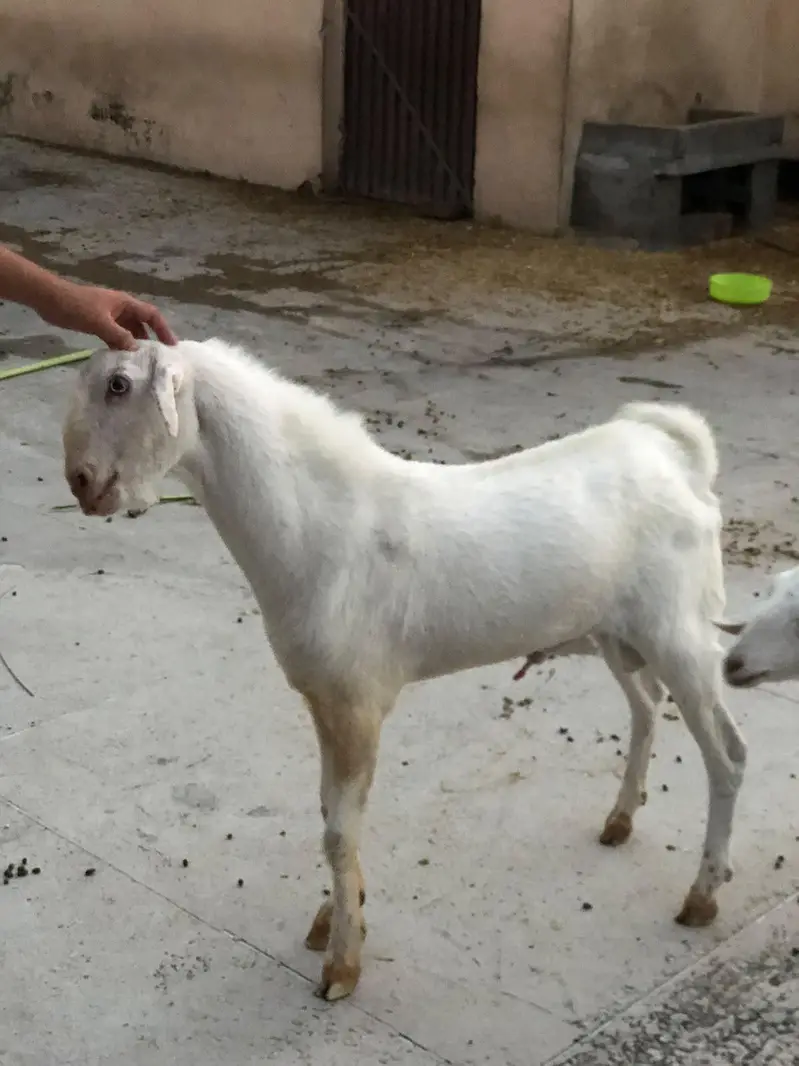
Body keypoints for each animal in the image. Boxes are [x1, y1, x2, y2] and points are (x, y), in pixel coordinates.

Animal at [62, 338, 747, 1002]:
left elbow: (338, 832)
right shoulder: (325, 701)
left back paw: (703, 895)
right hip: (617, 634)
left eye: (119, 385)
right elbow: (331, 815)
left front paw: (341, 965)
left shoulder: (355, 703)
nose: (81, 483)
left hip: (682, 633)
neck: (321, 529)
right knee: (647, 706)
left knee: (728, 755)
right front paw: (336, 916)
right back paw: (621, 820)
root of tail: (679, 457)